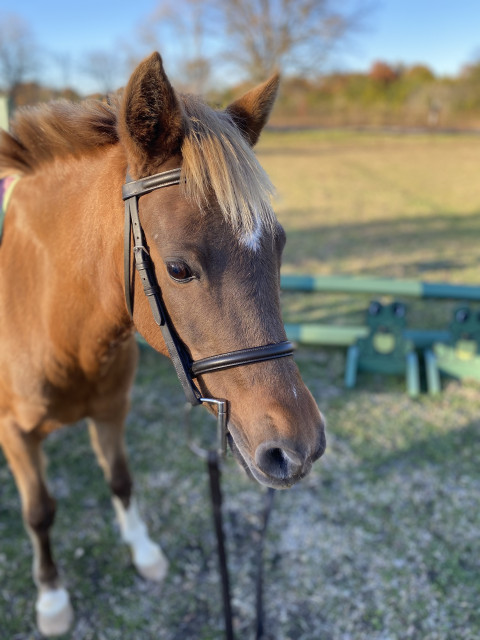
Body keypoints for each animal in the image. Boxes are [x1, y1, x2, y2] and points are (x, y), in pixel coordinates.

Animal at [0, 51, 326, 636]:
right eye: (177, 268)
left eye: (279, 245)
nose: (299, 447)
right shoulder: (15, 433)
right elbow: (40, 512)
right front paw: (52, 599)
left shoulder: (111, 410)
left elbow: (121, 479)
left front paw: (143, 550)